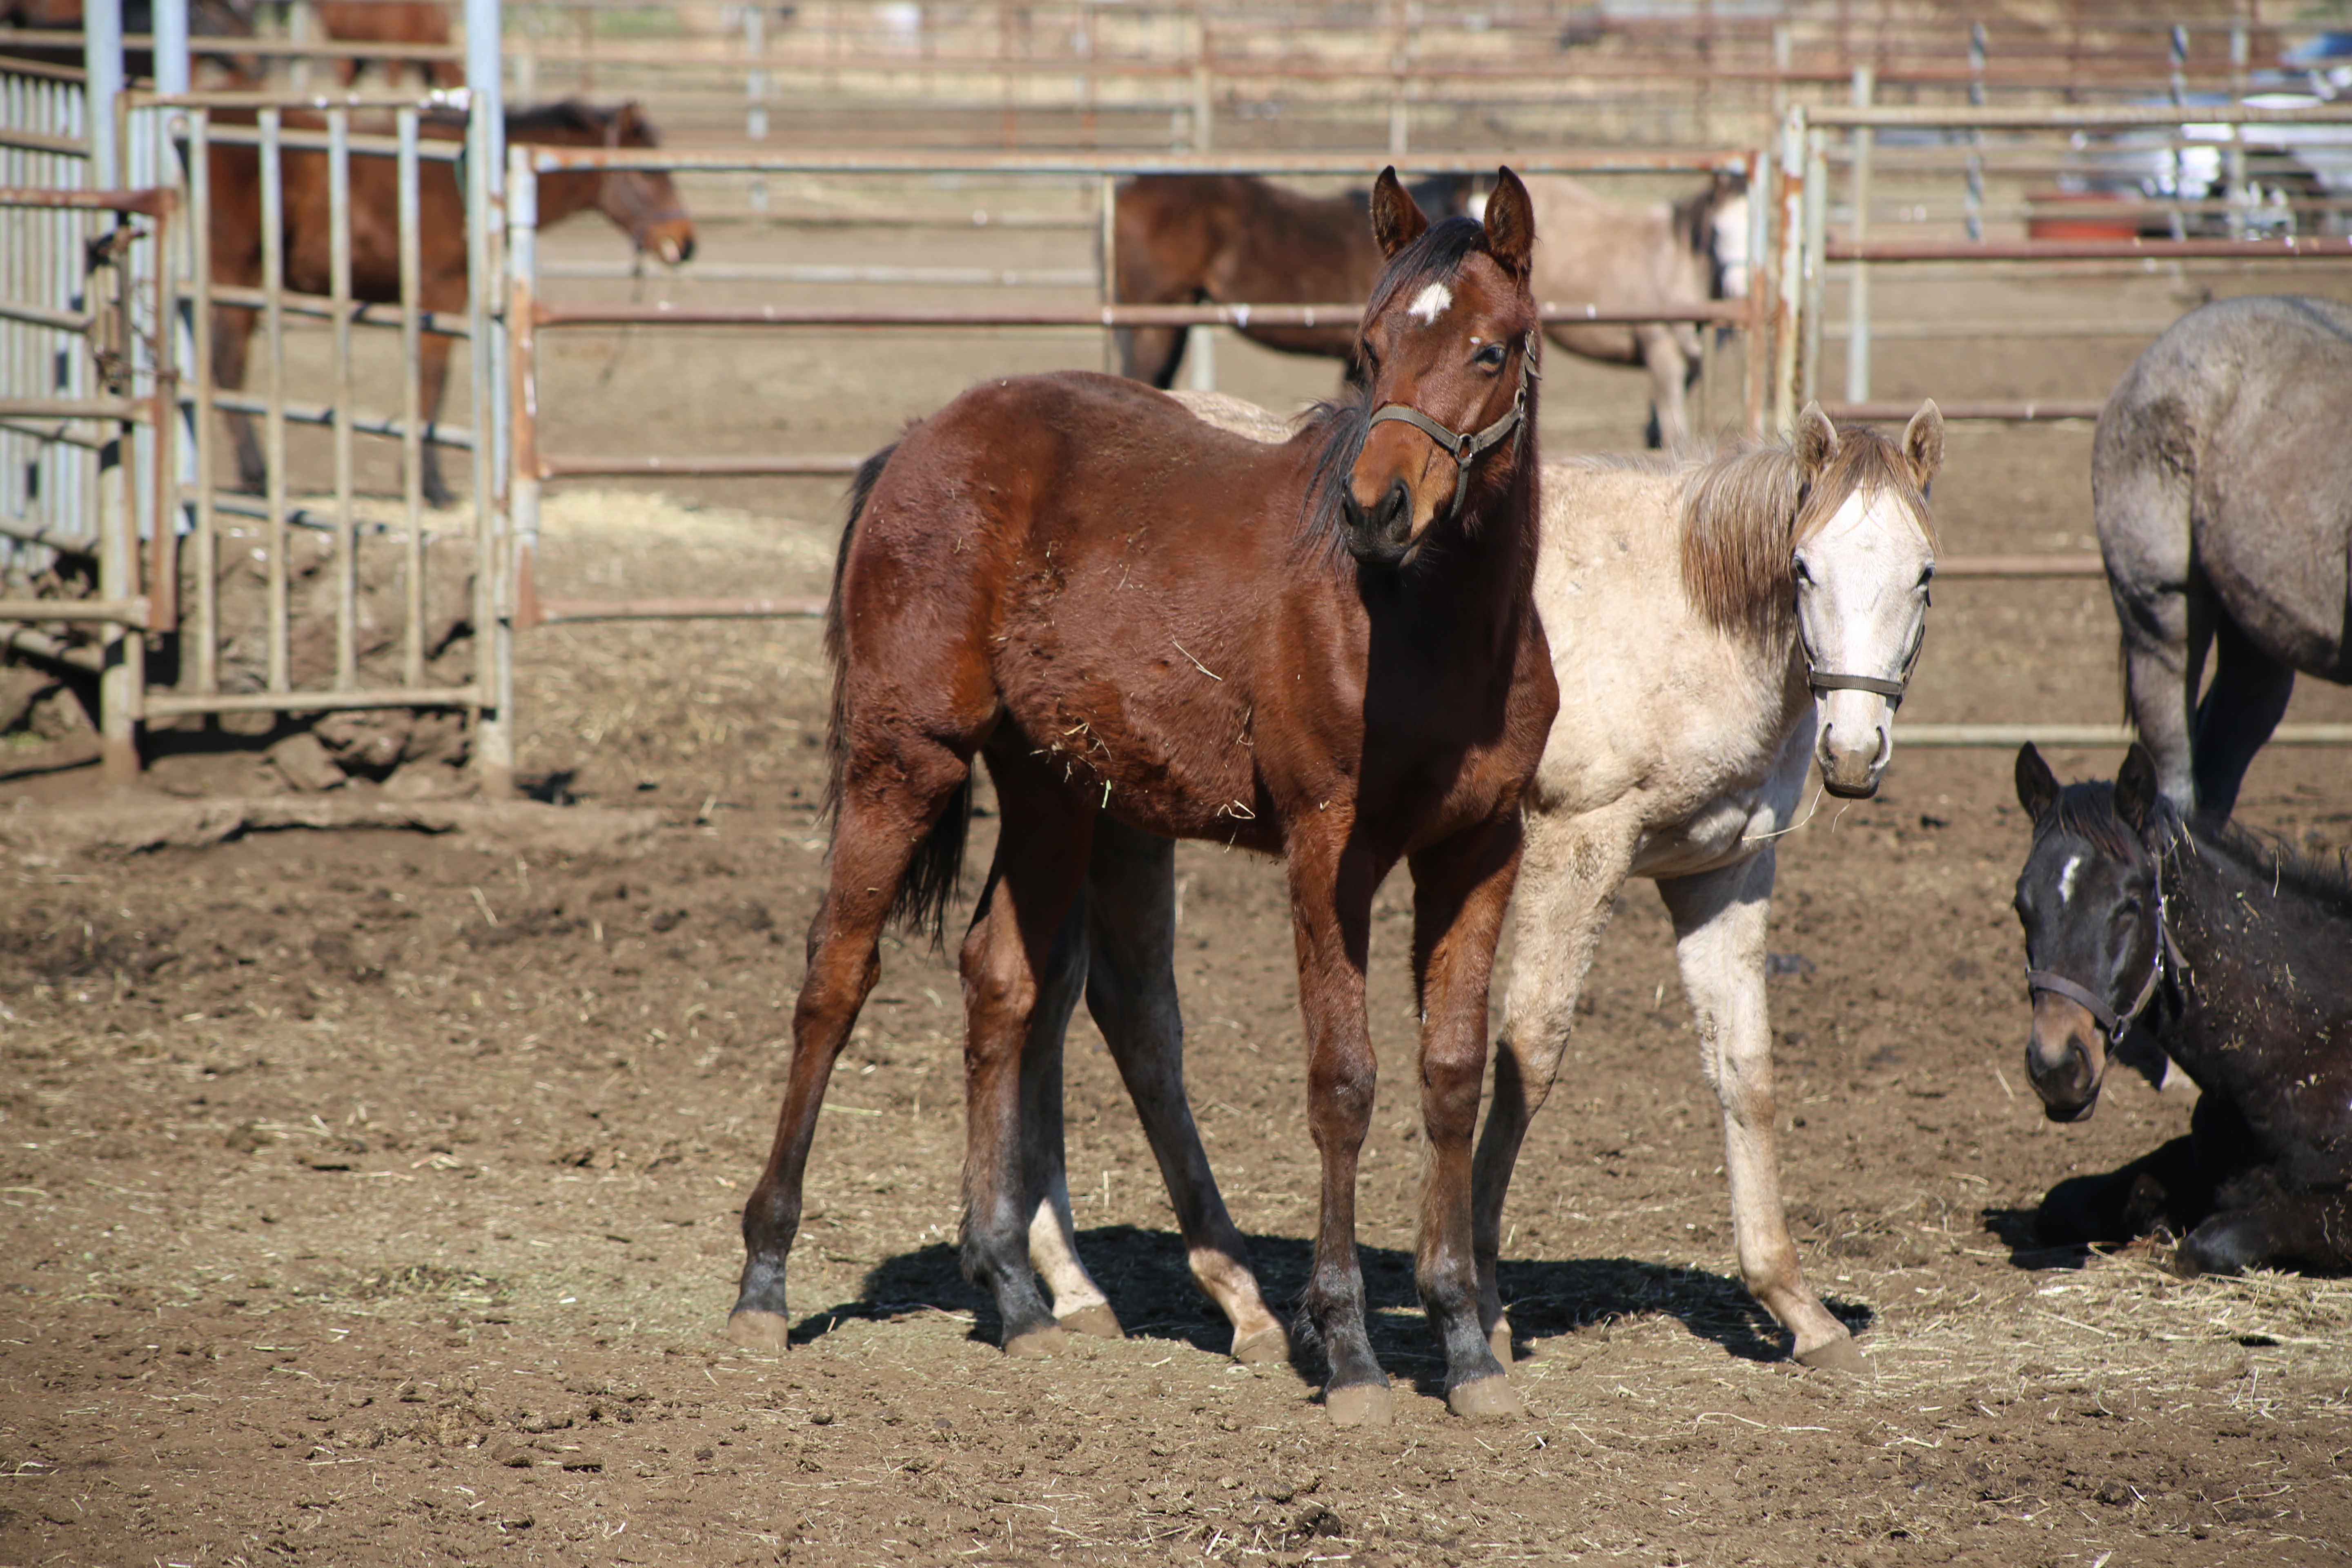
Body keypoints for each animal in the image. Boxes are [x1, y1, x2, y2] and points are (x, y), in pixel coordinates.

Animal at [209, 96, 696, 510]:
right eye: (648, 173)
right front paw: (431, 485)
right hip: (238, 275)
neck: (477, 188)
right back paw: (256, 476)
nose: (685, 242)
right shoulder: (444, 293)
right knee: (228, 368)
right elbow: (432, 382)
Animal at [1016, 390, 1947, 1382]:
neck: (1682, 612)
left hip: (1108, 811)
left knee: (1091, 1010)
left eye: (1925, 575)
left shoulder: (1722, 874)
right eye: (1804, 568)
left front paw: (1795, 1304)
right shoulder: (1577, 845)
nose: (1853, 753)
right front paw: (1486, 1304)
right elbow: (1528, 1056)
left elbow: (1746, 1071)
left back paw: (1115, 1287)